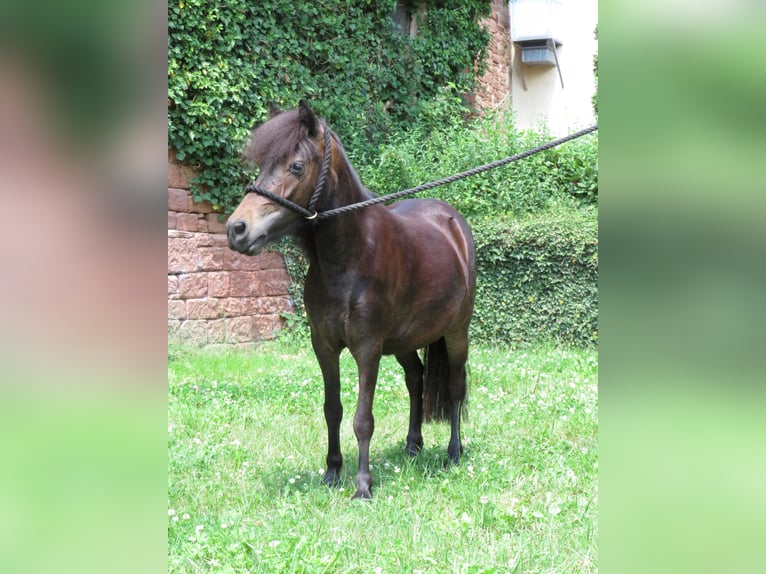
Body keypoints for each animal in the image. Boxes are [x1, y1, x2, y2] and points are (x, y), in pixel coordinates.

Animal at [226, 101, 474, 502]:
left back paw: (453, 453)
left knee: (454, 386)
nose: (237, 230)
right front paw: (331, 473)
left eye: (297, 166)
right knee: (416, 378)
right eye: (261, 166)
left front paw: (362, 486)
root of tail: (453, 223)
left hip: (456, 332)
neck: (350, 256)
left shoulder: (368, 348)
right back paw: (413, 445)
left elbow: (363, 418)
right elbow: (333, 409)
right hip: (405, 340)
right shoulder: (324, 346)